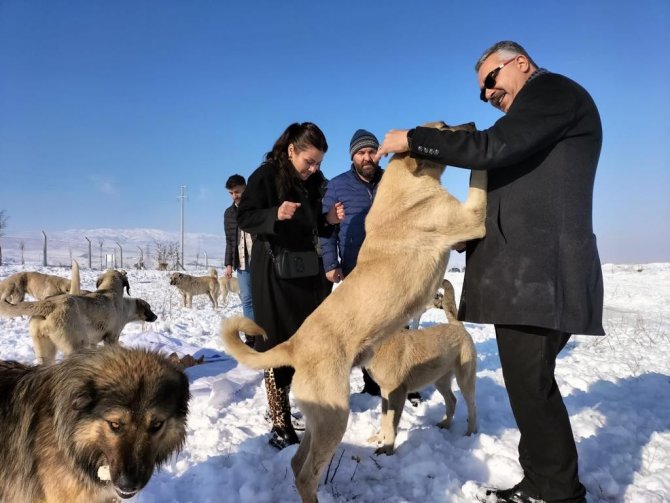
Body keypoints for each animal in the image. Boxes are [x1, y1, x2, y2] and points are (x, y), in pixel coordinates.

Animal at [364, 280, 480, 456]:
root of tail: (457, 325)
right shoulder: (385, 392)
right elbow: (384, 419)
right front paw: (379, 438)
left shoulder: (397, 393)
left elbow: (391, 423)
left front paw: (387, 449)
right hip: (440, 380)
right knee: (452, 401)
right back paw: (445, 424)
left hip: (464, 381)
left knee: (472, 407)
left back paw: (469, 435)